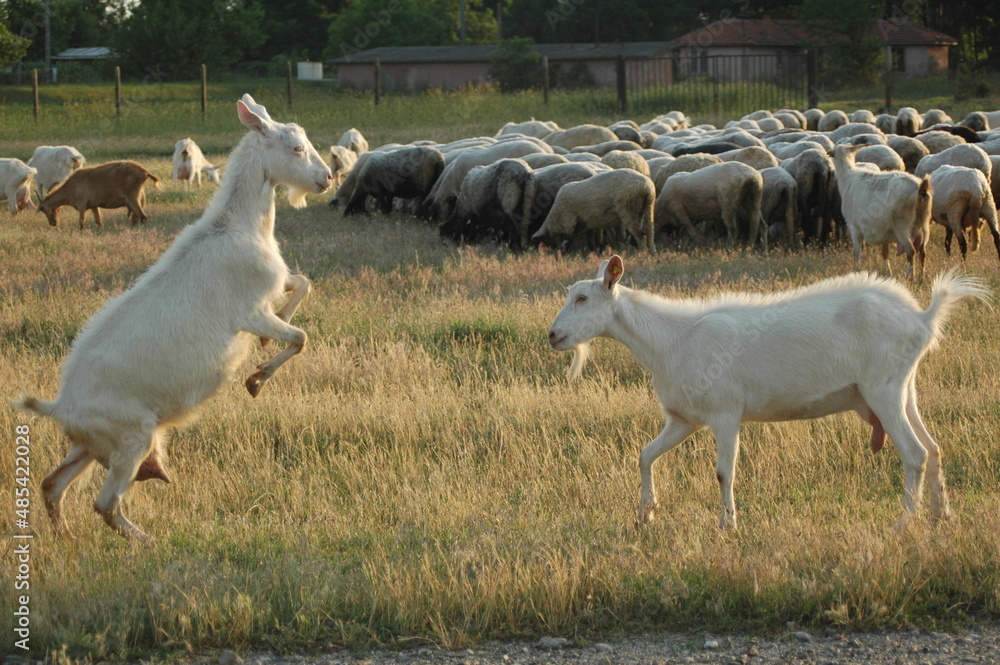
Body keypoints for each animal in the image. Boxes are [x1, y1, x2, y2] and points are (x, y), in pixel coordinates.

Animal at [13, 95, 333, 543]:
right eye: (297, 148)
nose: (326, 178)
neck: (239, 227)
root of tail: (60, 407)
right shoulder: (250, 312)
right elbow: (300, 337)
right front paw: (256, 379)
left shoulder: (274, 287)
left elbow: (303, 284)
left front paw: (267, 349)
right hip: (131, 439)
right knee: (104, 503)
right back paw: (147, 541)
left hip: (92, 446)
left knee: (51, 484)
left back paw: (67, 538)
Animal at [546, 255, 989, 529]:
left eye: (582, 297)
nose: (552, 335)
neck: (672, 340)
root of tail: (922, 318)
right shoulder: (684, 419)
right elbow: (644, 455)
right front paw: (644, 515)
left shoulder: (725, 413)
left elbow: (724, 471)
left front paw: (727, 524)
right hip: (902, 388)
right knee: (933, 448)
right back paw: (941, 517)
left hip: (882, 388)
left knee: (914, 454)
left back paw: (904, 523)